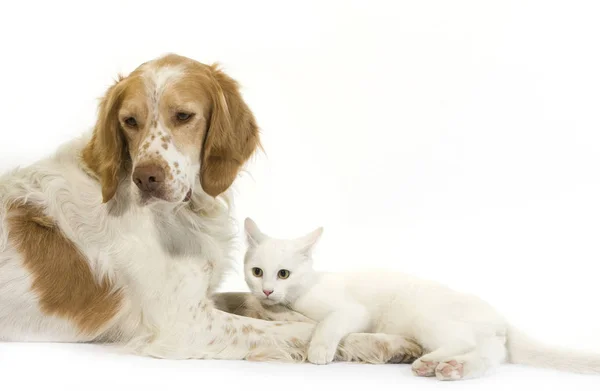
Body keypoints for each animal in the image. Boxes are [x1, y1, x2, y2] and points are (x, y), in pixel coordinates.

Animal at [0, 53, 422, 362]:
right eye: (129, 121)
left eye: (183, 115)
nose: (146, 178)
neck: (184, 215)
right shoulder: (183, 323)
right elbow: (298, 329)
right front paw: (382, 341)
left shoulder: (201, 297)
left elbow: (253, 302)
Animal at [243, 217, 600, 380]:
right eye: (258, 272)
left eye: (284, 274)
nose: (267, 290)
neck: (305, 288)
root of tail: (500, 317)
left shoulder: (352, 311)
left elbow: (327, 325)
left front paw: (318, 350)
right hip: (481, 340)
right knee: (487, 355)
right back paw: (454, 368)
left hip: (426, 317)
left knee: (463, 341)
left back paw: (431, 362)